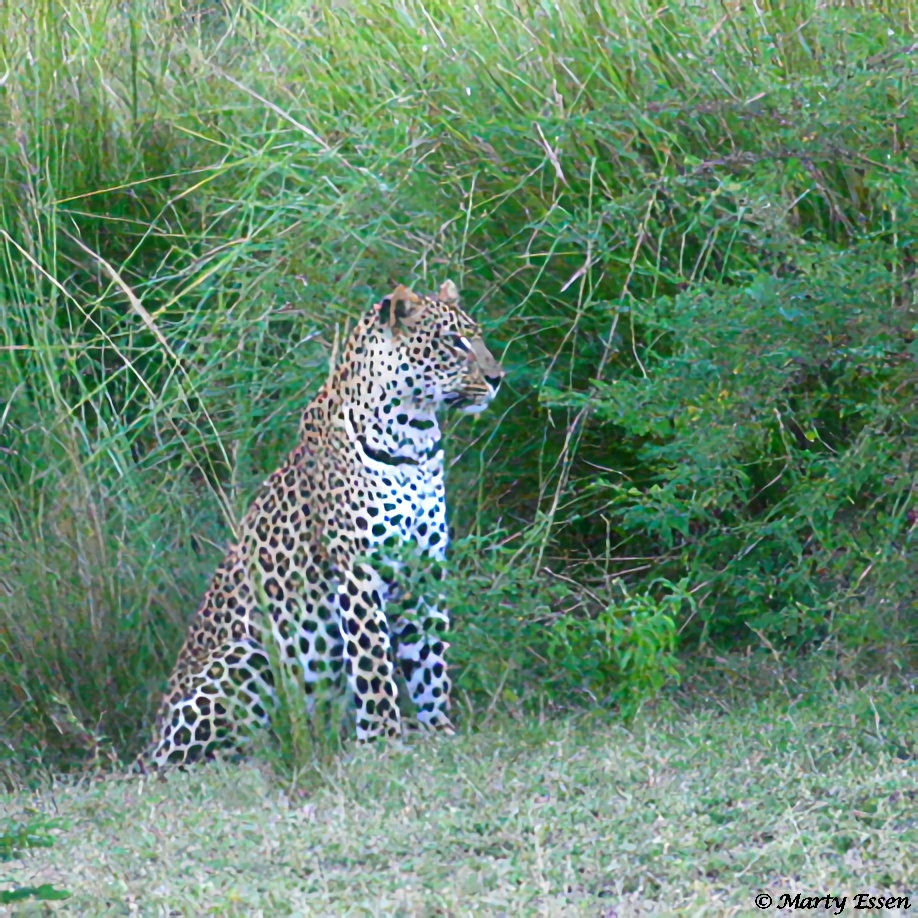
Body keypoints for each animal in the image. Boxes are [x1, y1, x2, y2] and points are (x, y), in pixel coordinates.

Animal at [138, 280, 504, 768]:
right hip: (249, 656)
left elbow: (429, 659)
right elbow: (373, 662)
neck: (415, 439)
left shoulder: (423, 568)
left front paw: (437, 728)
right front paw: (383, 740)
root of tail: (149, 749)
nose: (498, 378)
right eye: (453, 341)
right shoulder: (359, 569)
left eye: (475, 337)